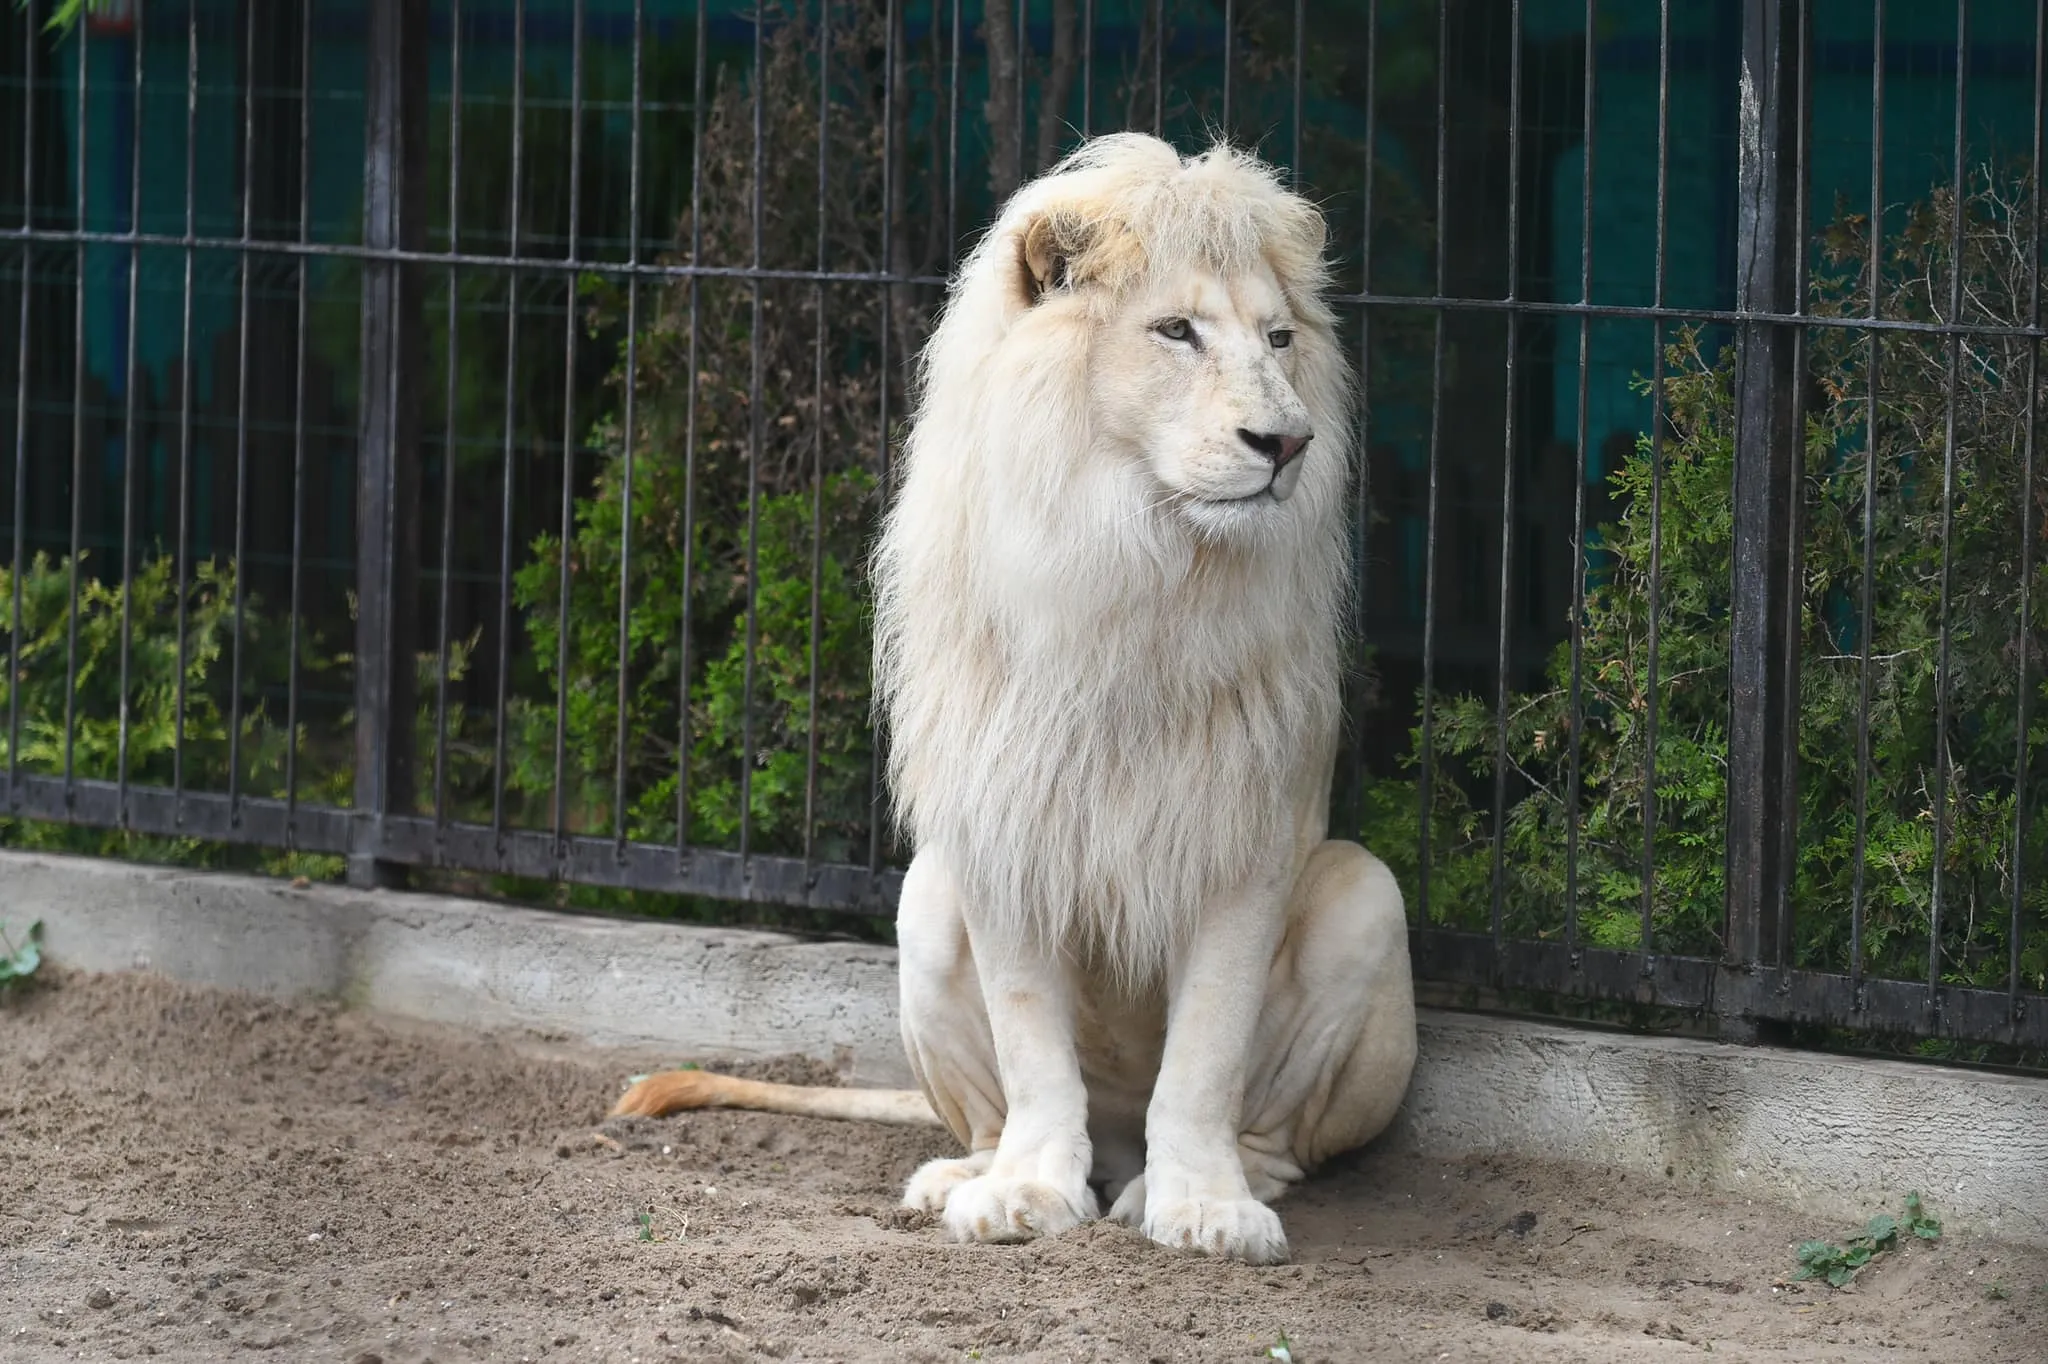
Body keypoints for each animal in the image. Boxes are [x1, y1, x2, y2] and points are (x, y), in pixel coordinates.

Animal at [606, 133, 1409, 1261]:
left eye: (1280, 338)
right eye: (1176, 330)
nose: (1285, 442)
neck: (1136, 567)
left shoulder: (1242, 833)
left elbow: (1206, 1050)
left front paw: (1203, 1206)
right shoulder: (1000, 824)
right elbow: (1032, 1038)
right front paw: (1026, 1190)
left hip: (1363, 897)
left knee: (1268, 1132)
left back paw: (1187, 1182)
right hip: (924, 901)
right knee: (996, 1109)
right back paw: (965, 1176)